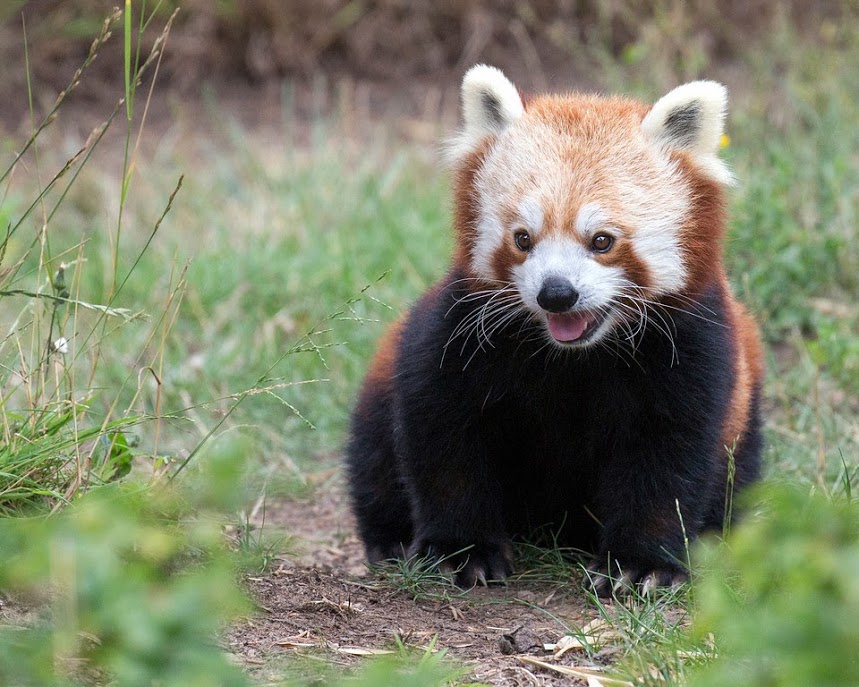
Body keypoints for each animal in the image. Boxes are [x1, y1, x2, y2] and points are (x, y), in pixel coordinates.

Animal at [346, 67, 764, 600]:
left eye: (602, 241)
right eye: (523, 238)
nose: (556, 294)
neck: (574, 357)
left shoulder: (694, 350)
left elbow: (668, 460)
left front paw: (640, 565)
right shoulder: (459, 332)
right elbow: (443, 437)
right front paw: (461, 552)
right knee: (374, 458)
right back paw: (390, 541)